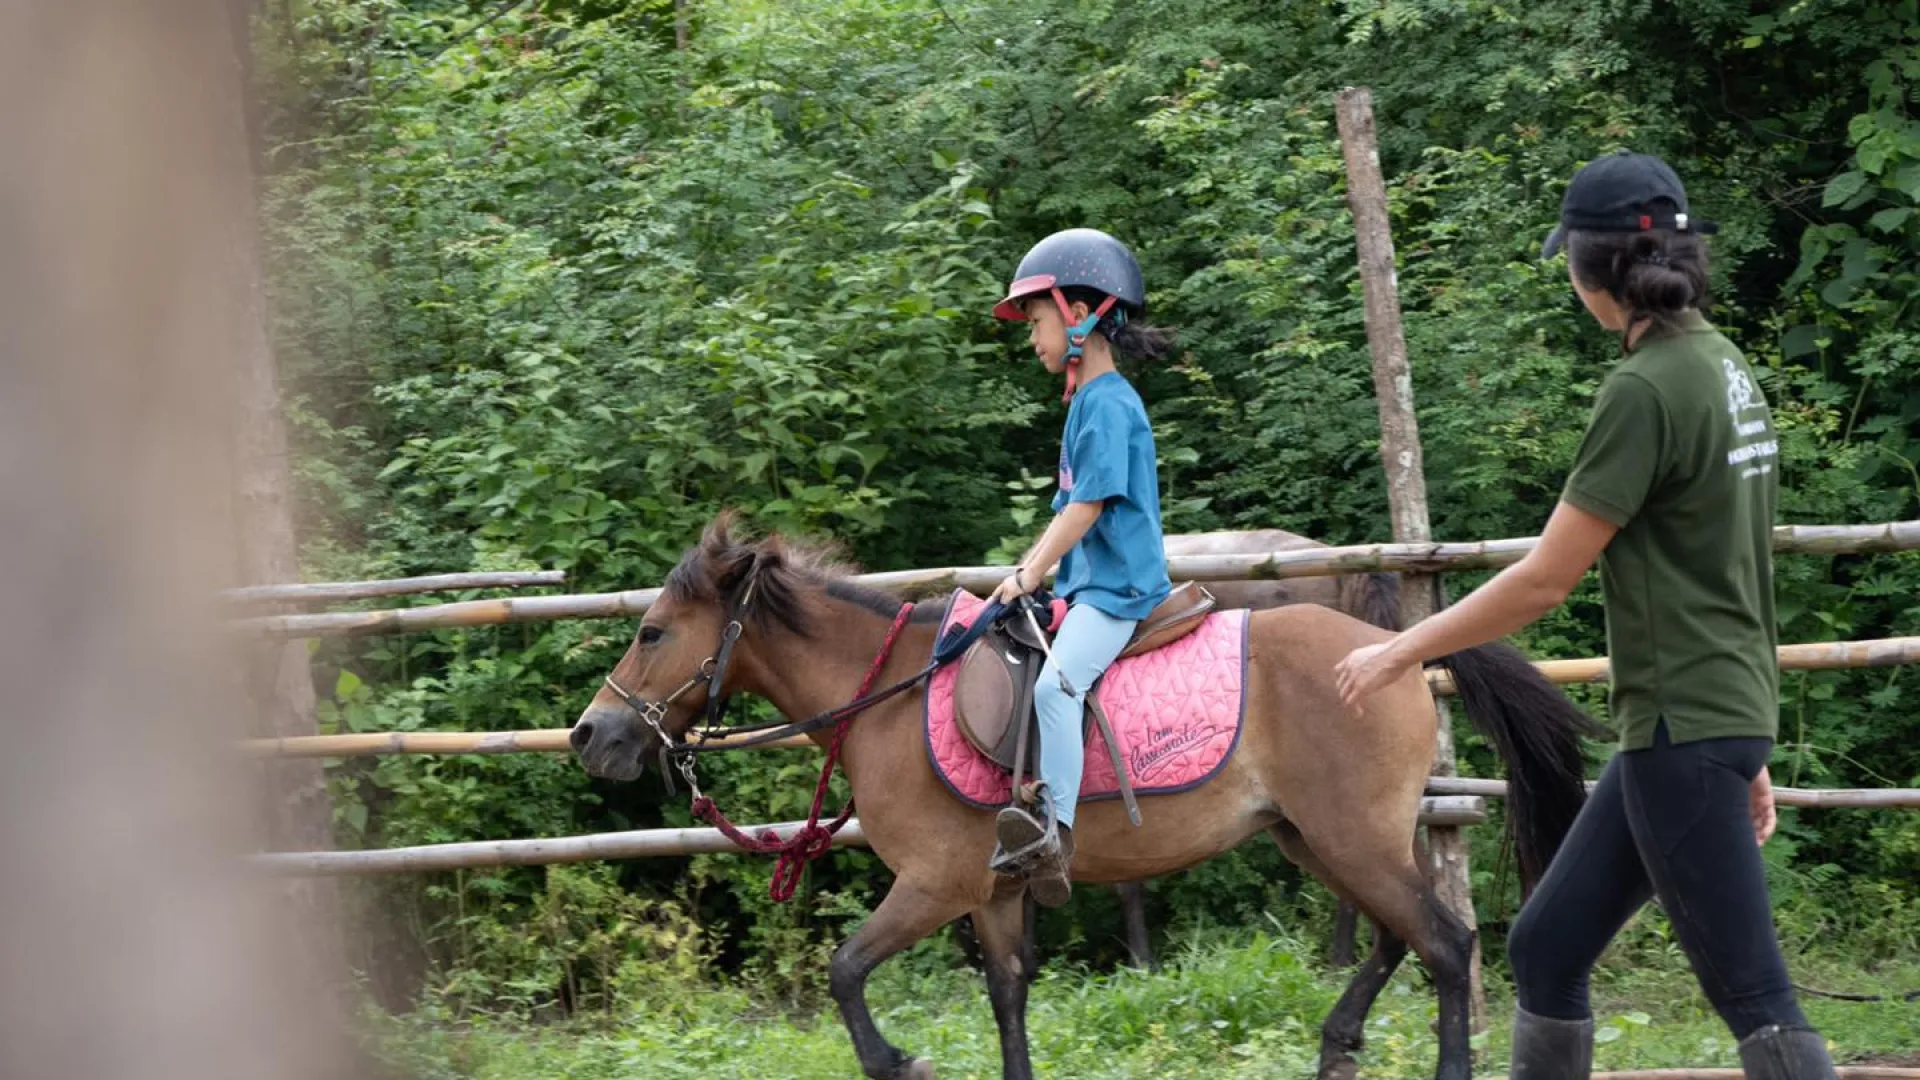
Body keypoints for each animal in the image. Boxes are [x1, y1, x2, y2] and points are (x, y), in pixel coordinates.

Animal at [570, 515, 1600, 1080]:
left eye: (653, 633)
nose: (591, 735)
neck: (891, 696)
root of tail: (1394, 648)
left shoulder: (935, 884)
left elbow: (846, 971)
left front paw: (898, 1061)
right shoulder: (992, 893)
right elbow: (1007, 998)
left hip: (1351, 837)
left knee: (1445, 943)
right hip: (1323, 837)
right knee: (1399, 937)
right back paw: (1338, 1042)